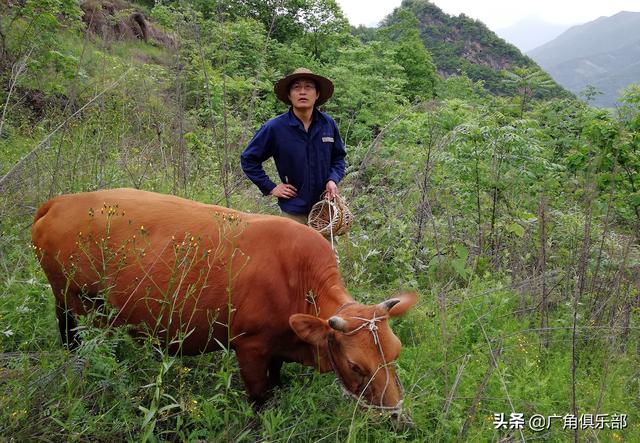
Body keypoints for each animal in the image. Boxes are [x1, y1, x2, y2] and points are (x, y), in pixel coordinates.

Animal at [32, 189, 418, 412]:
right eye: (355, 365)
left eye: (395, 352)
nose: (398, 414)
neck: (299, 280)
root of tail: (61, 202)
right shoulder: (249, 347)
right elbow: (260, 397)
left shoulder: (278, 346)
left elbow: (277, 377)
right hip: (73, 301)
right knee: (74, 339)